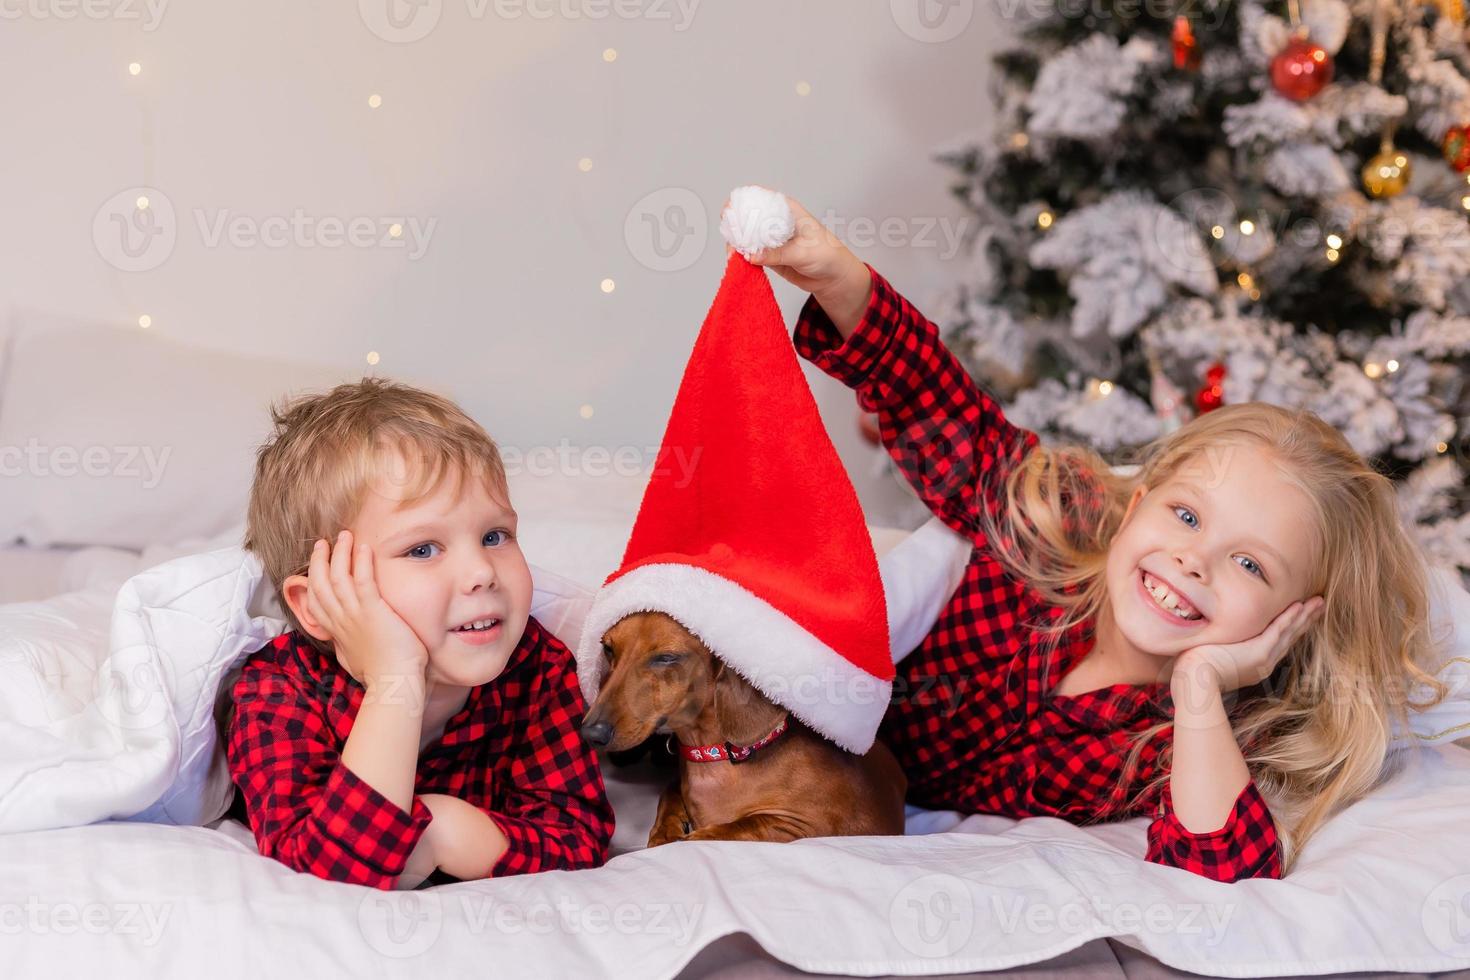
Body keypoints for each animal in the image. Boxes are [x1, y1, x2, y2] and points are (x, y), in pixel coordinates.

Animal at [576, 608, 899, 846]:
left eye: (666, 657)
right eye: (608, 648)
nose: (591, 733)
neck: (718, 755)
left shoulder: (805, 827)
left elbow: (740, 826)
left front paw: (686, 838)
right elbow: (668, 794)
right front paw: (664, 833)